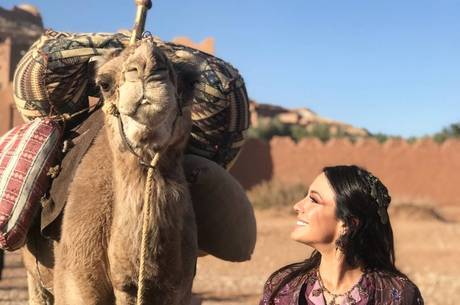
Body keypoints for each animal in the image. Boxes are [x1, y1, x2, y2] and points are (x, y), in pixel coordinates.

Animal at [21, 36, 199, 302]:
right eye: (104, 84)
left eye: (191, 82)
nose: (146, 66)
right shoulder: (75, 287)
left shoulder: (181, 291)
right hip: (35, 274)